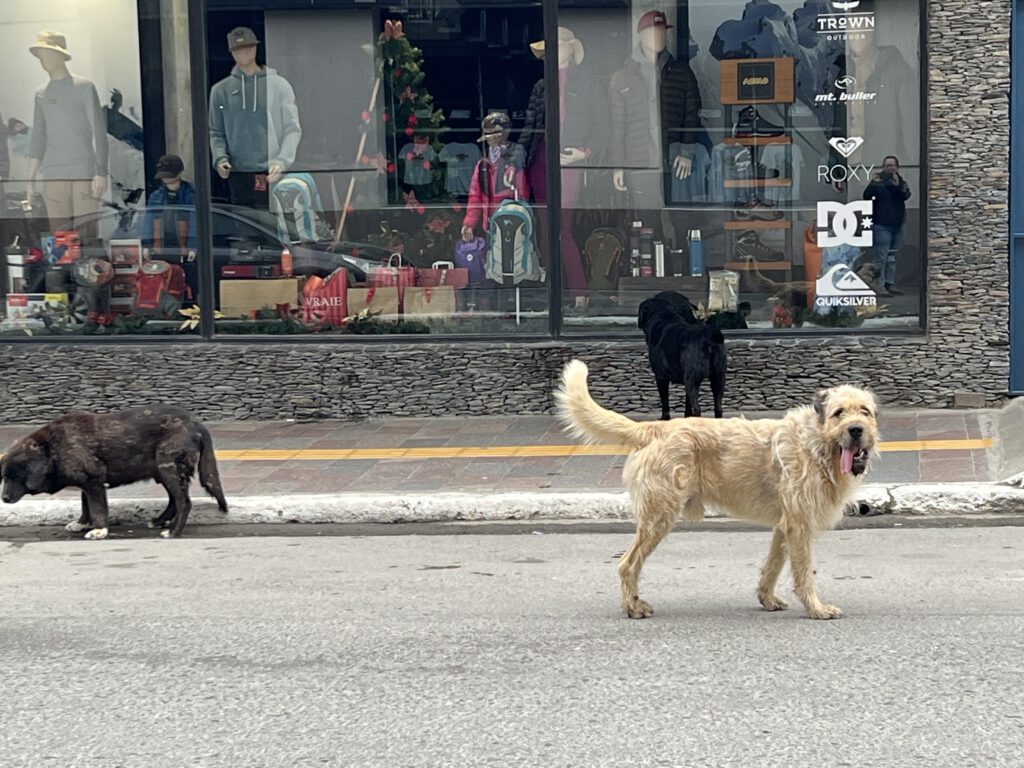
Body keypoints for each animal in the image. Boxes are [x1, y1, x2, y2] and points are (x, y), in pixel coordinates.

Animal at [0, 405, 228, 536]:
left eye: (15, 477)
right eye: (5, 477)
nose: (4, 498)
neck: (52, 448)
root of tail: (196, 423)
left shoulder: (94, 483)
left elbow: (98, 508)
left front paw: (99, 530)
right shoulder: (86, 484)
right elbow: (86, 507)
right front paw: (82, 524)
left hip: (169, 468)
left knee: (184, 502)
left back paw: (173, 531)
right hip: (163, 472)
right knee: (174, 500)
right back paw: (159, 521)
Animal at [557, 360, 876, 618]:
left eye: (865, 412)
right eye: (838, 413)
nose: (856, 430)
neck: (818, 445)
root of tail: (653, 428)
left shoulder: (784, 526)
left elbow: (772, 566)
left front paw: (767, 598)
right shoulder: (799, 525)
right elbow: (804, 572)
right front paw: (816, 608)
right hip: (659, 518)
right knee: (627, 564)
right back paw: (632, 607)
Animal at [634, 290, 724, 421]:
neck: (664, 316)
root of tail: (709, 337)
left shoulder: (661, 376)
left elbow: (665, 401)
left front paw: (664, 418)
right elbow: (687, 405)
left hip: (692, 379)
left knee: (697, 409)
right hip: (718, 377)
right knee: (718, 408)